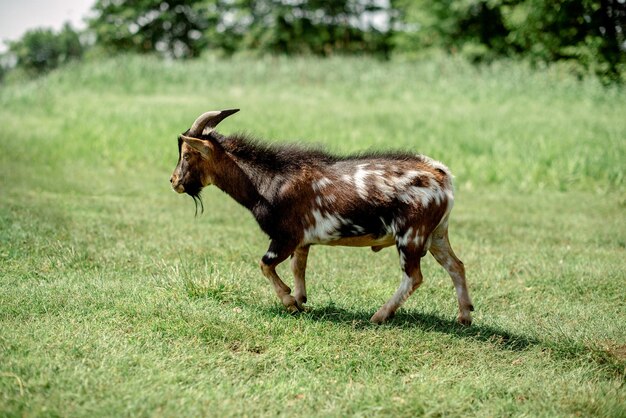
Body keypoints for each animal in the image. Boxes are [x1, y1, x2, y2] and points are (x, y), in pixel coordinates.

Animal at [168, 109, 470, 324]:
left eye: (187, 155)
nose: (174, 181)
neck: (270, 179)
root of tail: (441, 174)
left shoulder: (285, 236)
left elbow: (265, 265)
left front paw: (289, 302)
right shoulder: (302, 240)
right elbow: (297, 267)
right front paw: (301, 299)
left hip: (411, 235)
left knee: (414, 277)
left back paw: (380, 315)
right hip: (436, 234)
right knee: (456, 266)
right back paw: (464, 316)